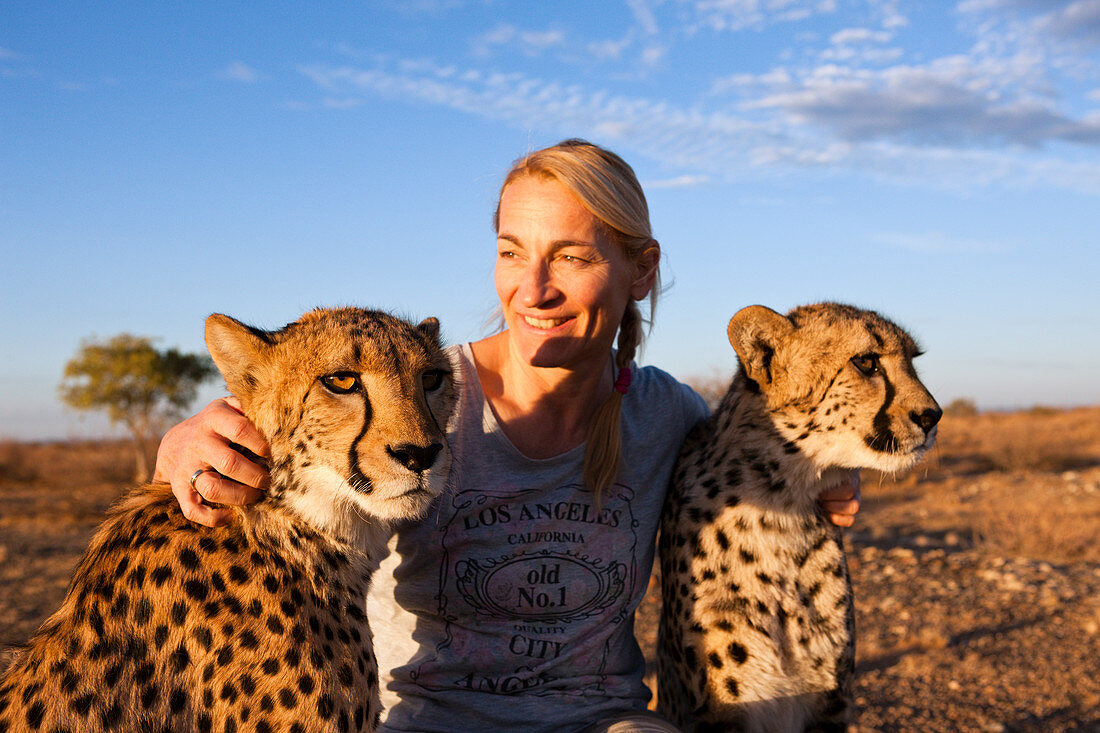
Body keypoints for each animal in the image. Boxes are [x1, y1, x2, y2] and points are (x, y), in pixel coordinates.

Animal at [655, 301, 941, 730]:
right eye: (866, 362)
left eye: (914, 360)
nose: (932, 416)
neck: (782, 505)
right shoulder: (726, 709)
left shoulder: (831, 700)